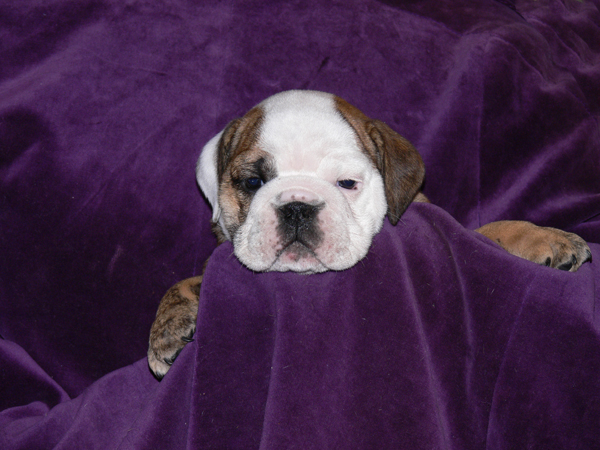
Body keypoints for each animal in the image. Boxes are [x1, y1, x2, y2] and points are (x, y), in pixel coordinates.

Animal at [148, 90, 591, 379]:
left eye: (347, 183)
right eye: (253, 182)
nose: (297, 206)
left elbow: (489, 230)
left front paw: (545, 239)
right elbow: (185, 280)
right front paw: (166, 331)